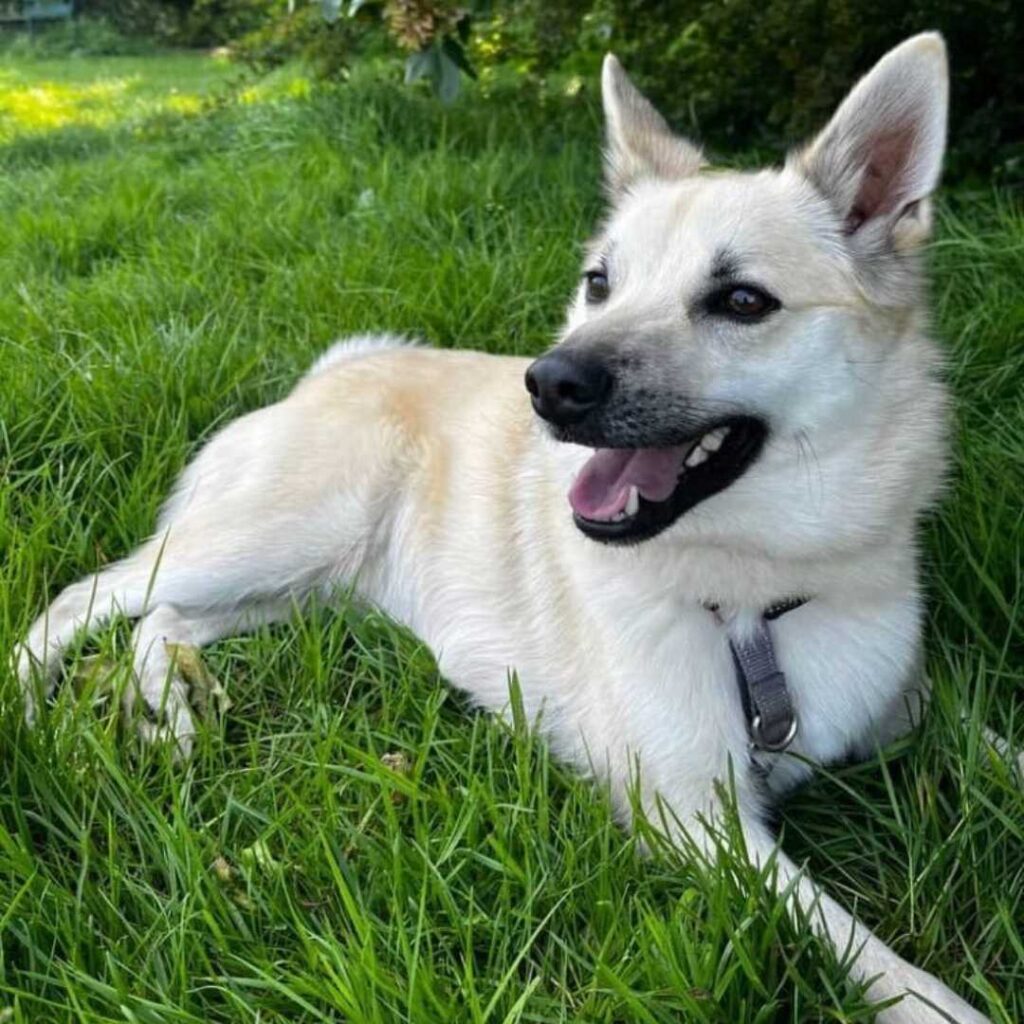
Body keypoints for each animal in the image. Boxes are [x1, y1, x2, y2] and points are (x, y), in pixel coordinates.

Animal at [16, 32, 995, 1024]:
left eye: (744, 301)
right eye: (600, 284)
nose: (549, 384)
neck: (760, 599)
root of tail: (334, 370)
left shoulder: (907, 704)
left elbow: (993, 744)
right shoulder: (693, 814)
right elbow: (847, 935)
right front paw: (934, 1001)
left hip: (306, 588)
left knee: (163, 620)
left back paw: (174, 706)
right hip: (277, 535)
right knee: (88, 598)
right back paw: (33, 715)